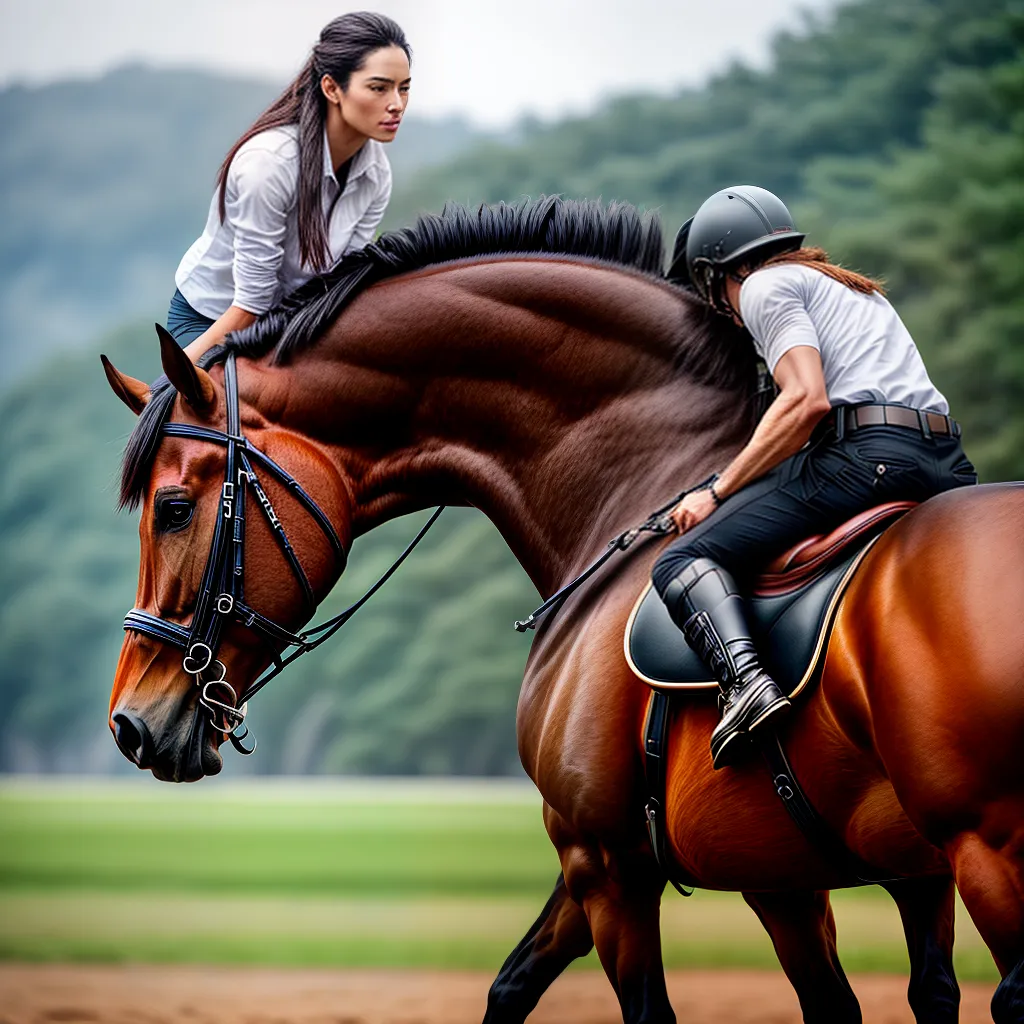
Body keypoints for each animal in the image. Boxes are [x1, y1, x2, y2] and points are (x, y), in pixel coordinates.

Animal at [103, 197, 1024, 1023]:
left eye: (175, 508)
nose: (130, 726)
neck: (642, 489)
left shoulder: (608, 864)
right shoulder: (785, 875)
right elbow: (512, 986)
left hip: (988, 849)